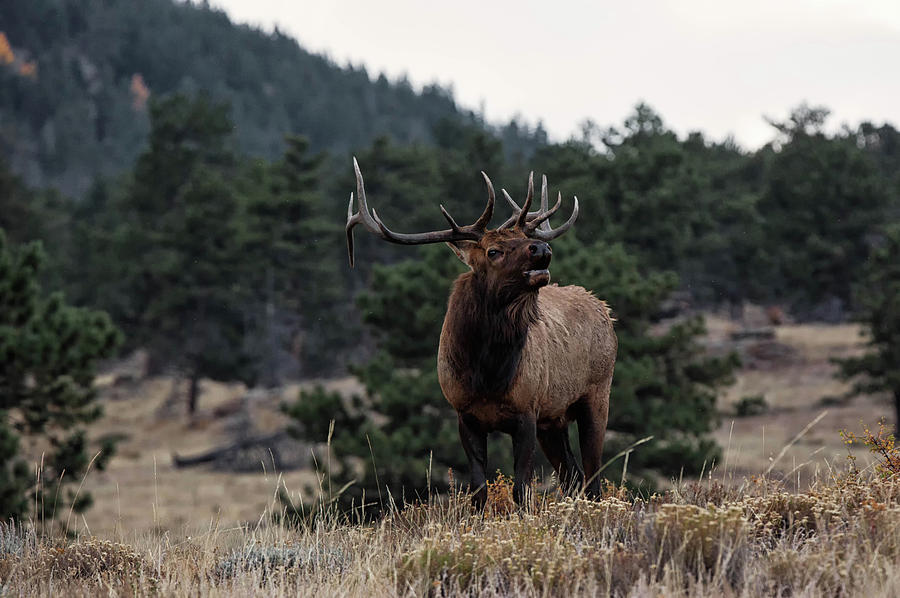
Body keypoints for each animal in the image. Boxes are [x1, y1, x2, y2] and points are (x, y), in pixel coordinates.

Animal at [346, 158, 620, 506]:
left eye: (521, 239)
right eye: (493, 251)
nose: (542, 248)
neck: (487, 374)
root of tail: (605, 309)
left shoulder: (527, 410)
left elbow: (521, 488)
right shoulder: (465, 415)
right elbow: (478, 488)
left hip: (597, 393)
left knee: (593, 477)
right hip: (554, 418)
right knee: (573, 476)